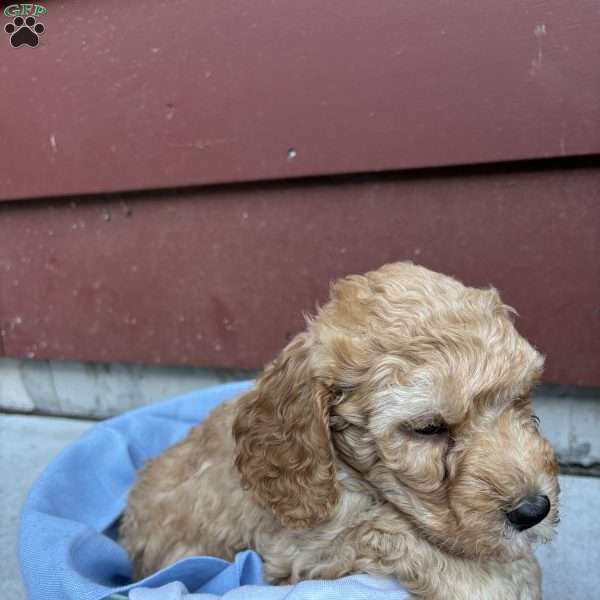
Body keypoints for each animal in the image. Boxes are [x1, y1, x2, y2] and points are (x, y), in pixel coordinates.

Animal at [119, 264, 560, 600]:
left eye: (521, 397)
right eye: (427, 428)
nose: (533, 510)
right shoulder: (297, 550)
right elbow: (385, 528)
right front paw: (497, 580)